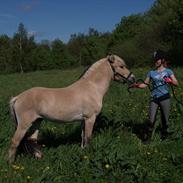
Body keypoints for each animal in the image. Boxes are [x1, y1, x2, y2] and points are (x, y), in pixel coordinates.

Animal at [7, 54, 135, 163]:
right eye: (121, 66)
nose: (133, 79)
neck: (91, 87)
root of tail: (17, 97)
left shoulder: (84, 120)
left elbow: (83, 136)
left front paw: (83, 152)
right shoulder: (90, 118)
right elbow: (88, 137)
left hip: (37, 122)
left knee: (32, 139)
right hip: (24, 125)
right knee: (15, 141)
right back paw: (10, 164)